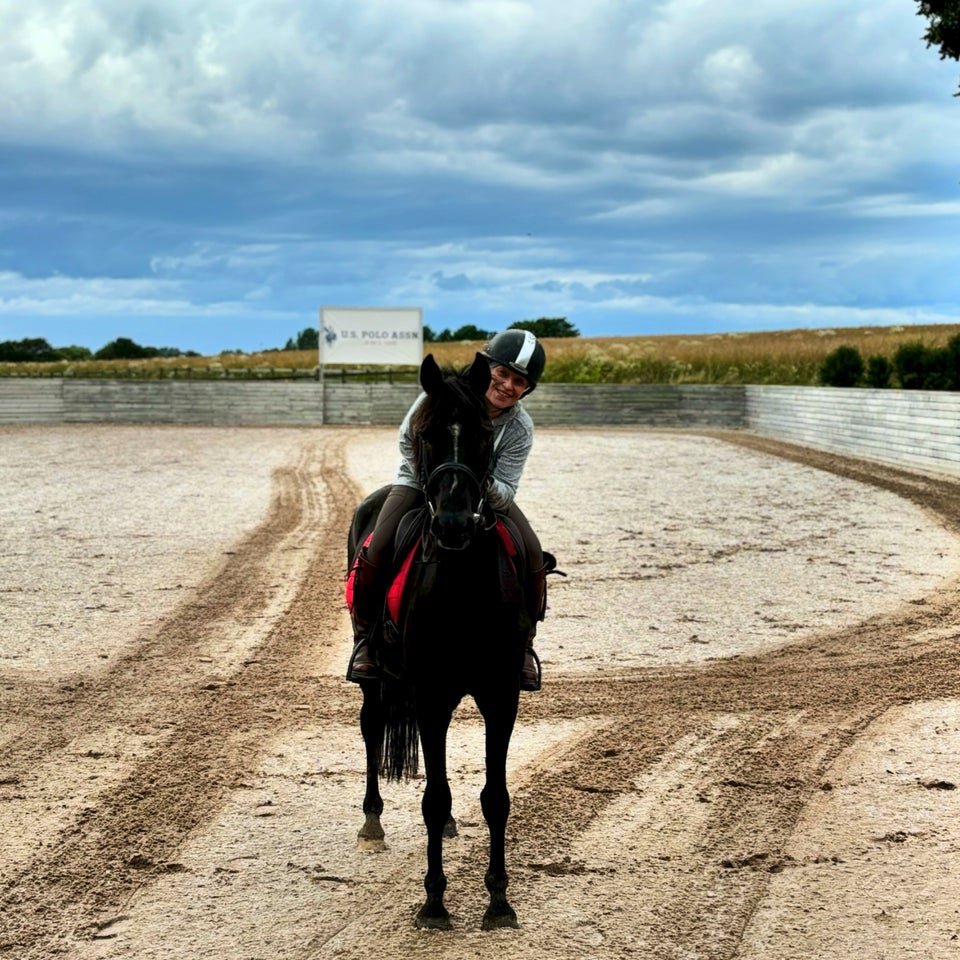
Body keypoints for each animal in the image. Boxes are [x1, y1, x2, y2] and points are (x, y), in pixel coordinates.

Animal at [344, 352, 528, 928]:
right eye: (424, 435)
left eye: (485, 435)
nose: (451, 524)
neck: (461, 583)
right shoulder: (429, 694)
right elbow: (434, 798)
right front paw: (434, 901)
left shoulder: (500, 696)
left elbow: (495, 798)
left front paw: (499, 901)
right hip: (377, 680)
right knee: (372, 728)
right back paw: (372, 822)